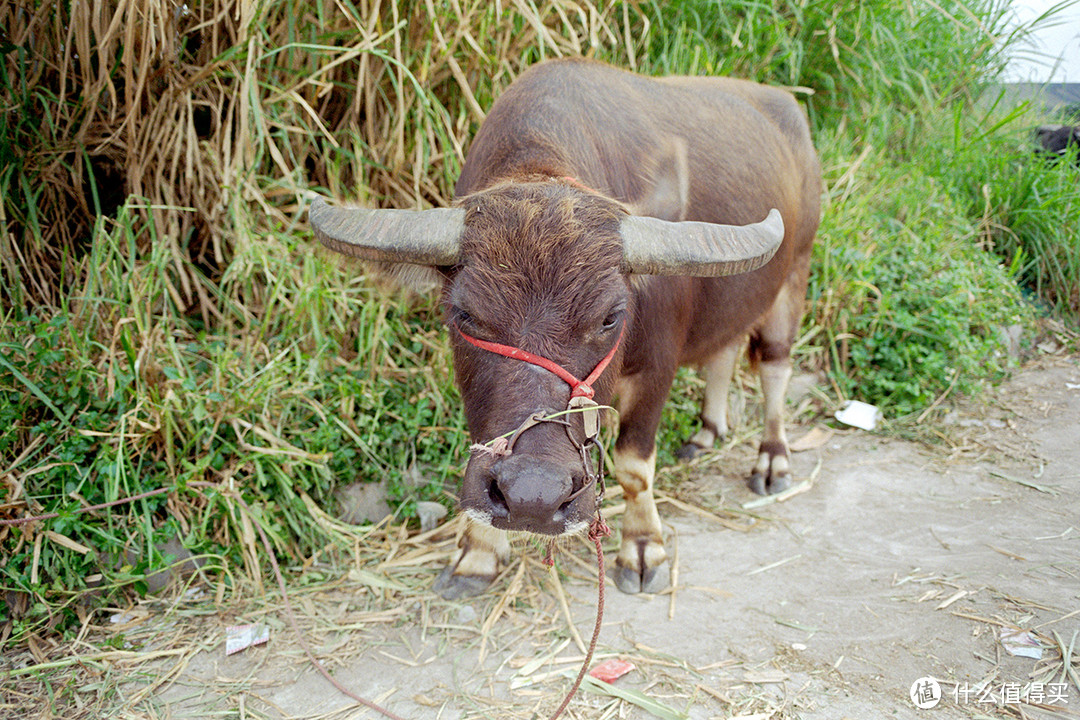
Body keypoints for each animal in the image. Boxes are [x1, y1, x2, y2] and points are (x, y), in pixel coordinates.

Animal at [308, 57, 820, 595]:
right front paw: (477, 552)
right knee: (725, 346)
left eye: (611, 316)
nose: (532, 496)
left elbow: (634, 467)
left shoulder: (656, 368)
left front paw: (643, 548)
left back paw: (773, 460)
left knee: (774, 366)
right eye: (464, 314)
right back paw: (706, 433)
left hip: (795, 275)